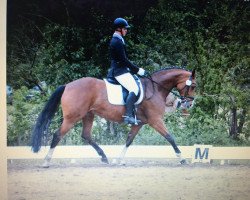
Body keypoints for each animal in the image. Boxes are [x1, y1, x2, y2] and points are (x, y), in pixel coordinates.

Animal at [31, 67, 196, 167]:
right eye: (193, 86)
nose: (189, 104)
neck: (155, 88)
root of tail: (67, 85)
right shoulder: (155, 120)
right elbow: (170, 137)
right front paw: (181, 158)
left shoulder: (138, 123)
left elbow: (129, 140)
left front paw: (119, 159)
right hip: (72, 117)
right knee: (57, 135)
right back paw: (46, 161)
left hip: (88, 115)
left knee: (86, 135)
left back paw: (104, 157)